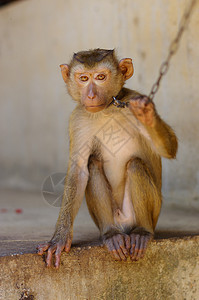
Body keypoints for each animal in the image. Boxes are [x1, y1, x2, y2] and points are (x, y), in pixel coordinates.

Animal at [37, 48, 177, 268]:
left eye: (101, 77)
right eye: (83, 78)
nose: (91, 95)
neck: (107, 109)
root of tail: (125, 226)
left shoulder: (130, 102)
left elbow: (169, 148)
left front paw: (148, 114)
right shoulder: (78, 119)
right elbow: (79, 170)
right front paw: (59, 239)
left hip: (153, 212)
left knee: (135, 165)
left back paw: (142, 232)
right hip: (111, 218)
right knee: (93, 164)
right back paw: (111, 234)